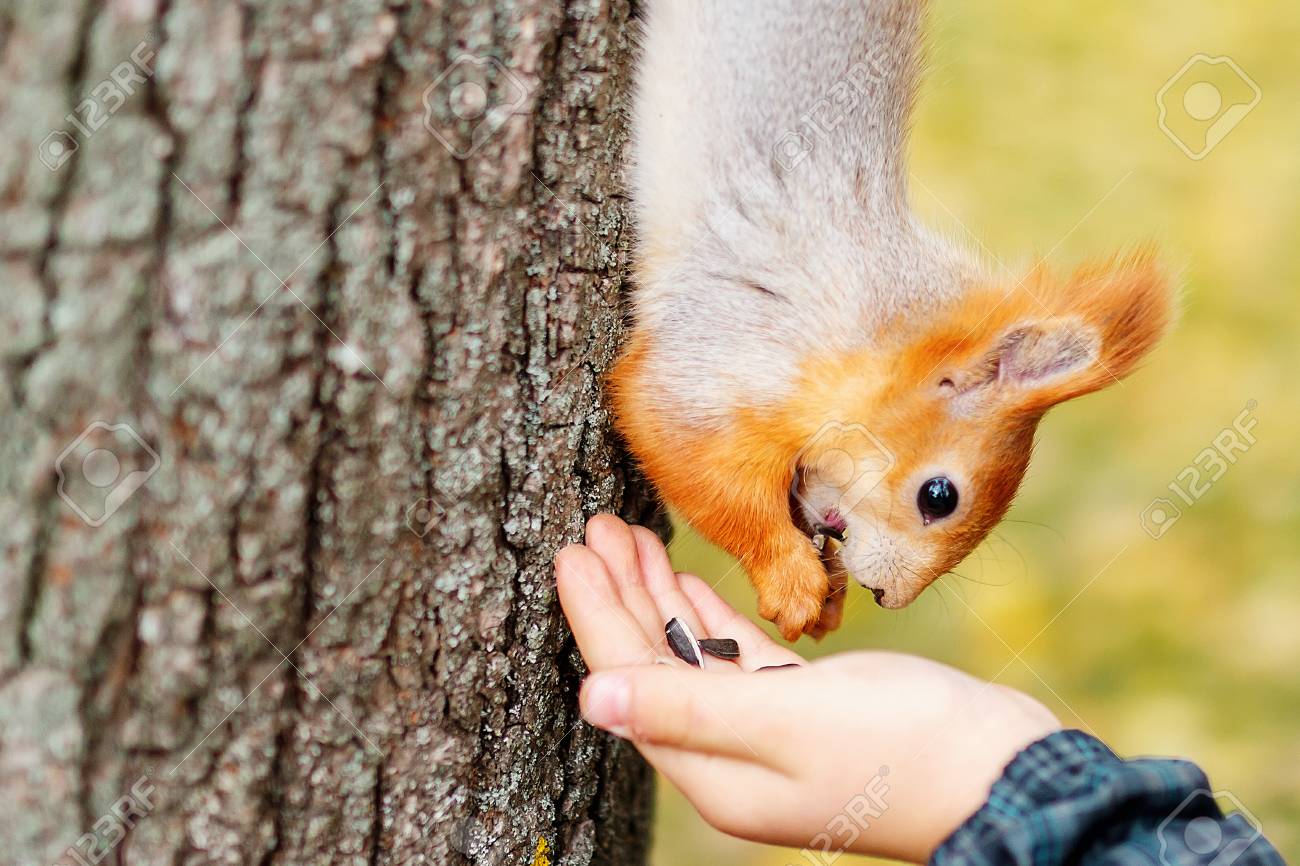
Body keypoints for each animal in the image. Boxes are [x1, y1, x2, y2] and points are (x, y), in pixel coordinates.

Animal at [603, 0, 1175, 637]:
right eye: (939, 496)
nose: (887, 596)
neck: (878, 337)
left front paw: (828, 593)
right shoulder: (732, 350)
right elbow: (683, 447)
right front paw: (790, 579)